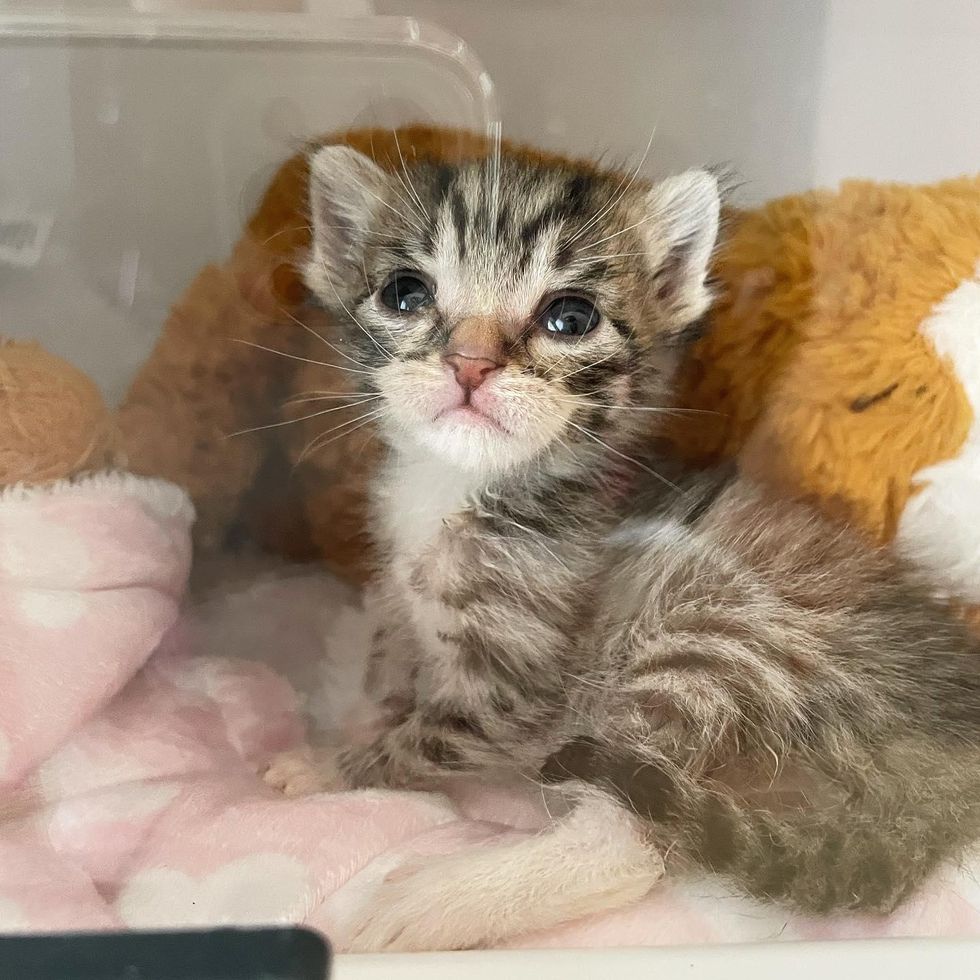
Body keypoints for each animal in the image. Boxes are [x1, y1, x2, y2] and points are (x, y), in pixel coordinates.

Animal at [300, 144, 980, 948]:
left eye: (570, 317)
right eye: (406, 294)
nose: (470, 364)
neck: (462, 488)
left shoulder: (515, 687)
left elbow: (422, 742)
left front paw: (325, 769)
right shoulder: (406, 602)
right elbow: (391, 663)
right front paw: (355, 709)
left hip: (713, 640)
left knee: (632, 840)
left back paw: (430, 904)